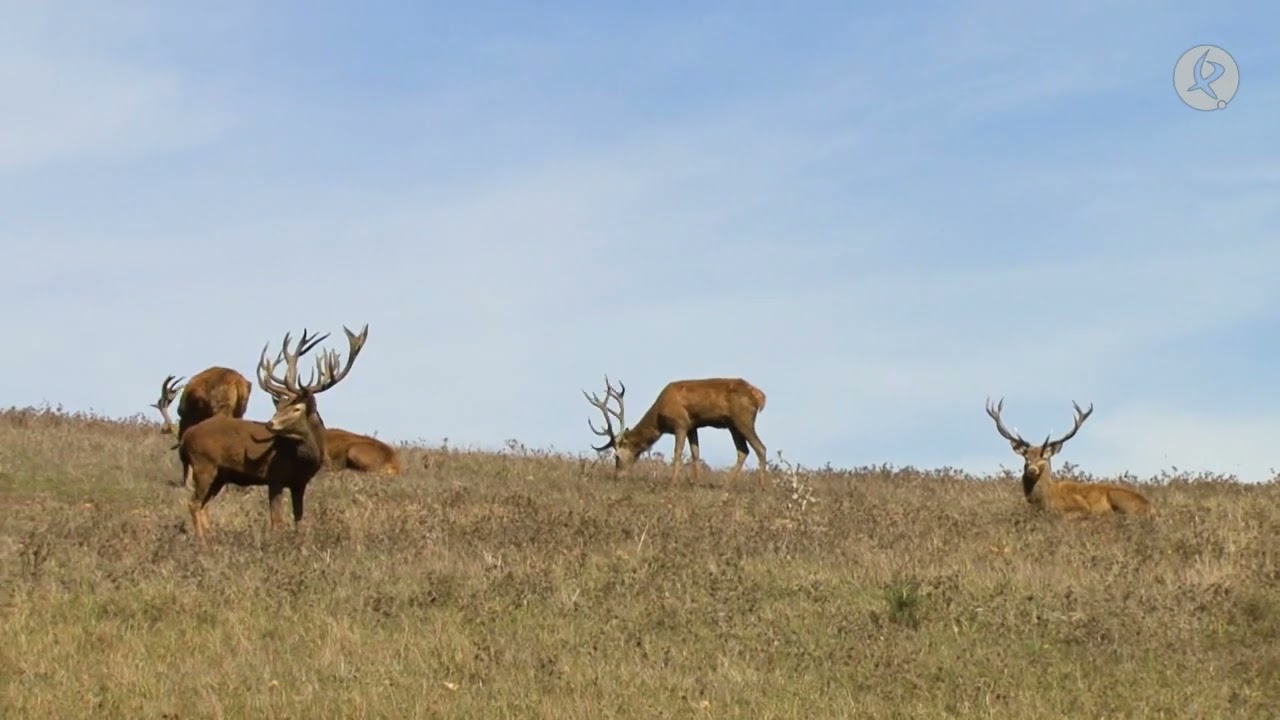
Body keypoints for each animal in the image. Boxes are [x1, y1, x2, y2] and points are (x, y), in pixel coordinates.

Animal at [177, 325, 367, 537]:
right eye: (280, 406)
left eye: (296, 408)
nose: (270, 423)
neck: (305, 457)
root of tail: (185, 439)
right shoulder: (275, 477)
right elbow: (277, 521)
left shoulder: (299, 483)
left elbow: (299, 519)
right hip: (204, 464)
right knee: (194, 503)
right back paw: (202, 538)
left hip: (219, 475)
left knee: (202, 504)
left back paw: (210, 534)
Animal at [583, 376, 768, 484]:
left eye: (617, 456)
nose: (617, 477)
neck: (659, 418)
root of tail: (760, 396)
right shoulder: (693, 426)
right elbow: (695, 453)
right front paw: (697, 482)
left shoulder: (680, 423)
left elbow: (678, 453)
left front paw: (672, 482)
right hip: (732, 425)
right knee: (743, 451)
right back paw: (726, 484)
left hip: (743, 420)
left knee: (760, 448)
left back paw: (762, 485)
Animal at [984, 397, 1153, 517]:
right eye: (1026, 457)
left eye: (1044, 457)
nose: (1032, 470)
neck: (1044, 500)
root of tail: (1151, 508)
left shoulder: (1080, 507)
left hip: (1118, 496)